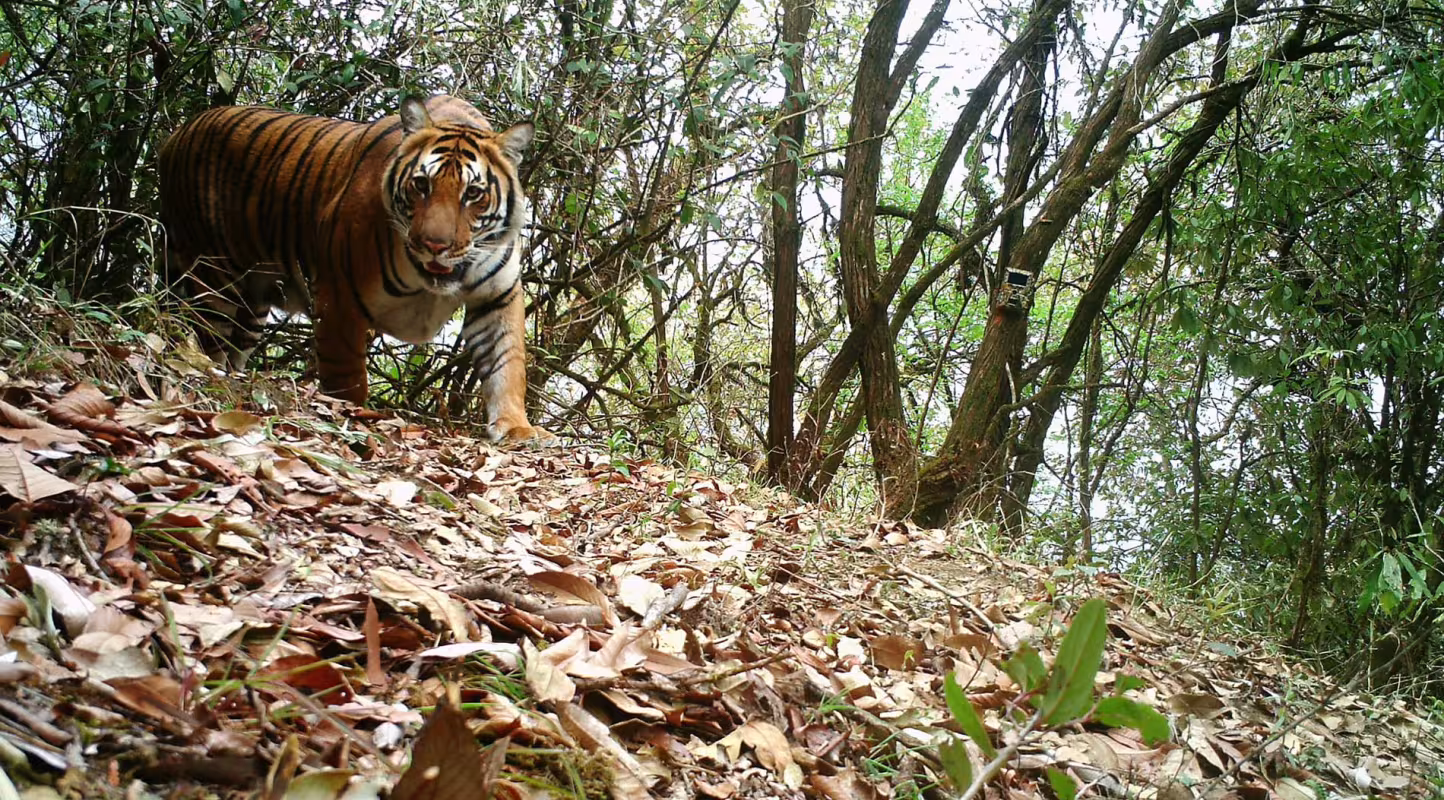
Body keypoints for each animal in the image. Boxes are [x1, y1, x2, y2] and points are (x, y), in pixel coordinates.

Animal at [157, 95, 549, 441]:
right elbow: (346, 371)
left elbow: (506, 363)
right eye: (421, 185)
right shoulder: (339, 292)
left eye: (473, 194)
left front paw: (516, 427)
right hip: (213, 277)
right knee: (207, 340)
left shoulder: (497, 297)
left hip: (254, 301)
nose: (435, 245)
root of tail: (176, 133)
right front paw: (351, 414)